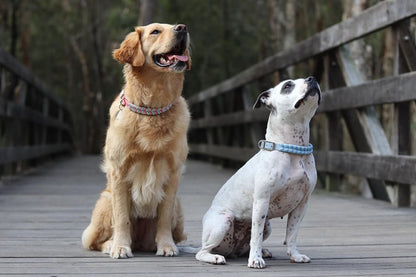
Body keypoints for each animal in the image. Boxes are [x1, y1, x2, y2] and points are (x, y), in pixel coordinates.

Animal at [81, 22, 192, 258]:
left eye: (174, 26)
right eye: (155, 31)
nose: (182, 28)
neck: (153, 109)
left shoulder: (173, 172)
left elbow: (164, 217)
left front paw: (167, 246)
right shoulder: (119, 171)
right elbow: (122, 217)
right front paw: (120, 247)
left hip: (179, 208)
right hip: (105, 201)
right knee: (93, 240)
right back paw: (110, 244)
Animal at [195, 76, 322, 268]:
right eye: (287, 86)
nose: (312, 78)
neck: (293, 148)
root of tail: (230, 251)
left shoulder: (302, 205)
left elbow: (292, 234)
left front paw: (295, 255)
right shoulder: (262, 201)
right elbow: (256, 234)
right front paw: (255, 259)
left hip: (267, 226)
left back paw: (263, 251)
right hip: (223, 221)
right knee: (202, 251)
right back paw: (215, 257)